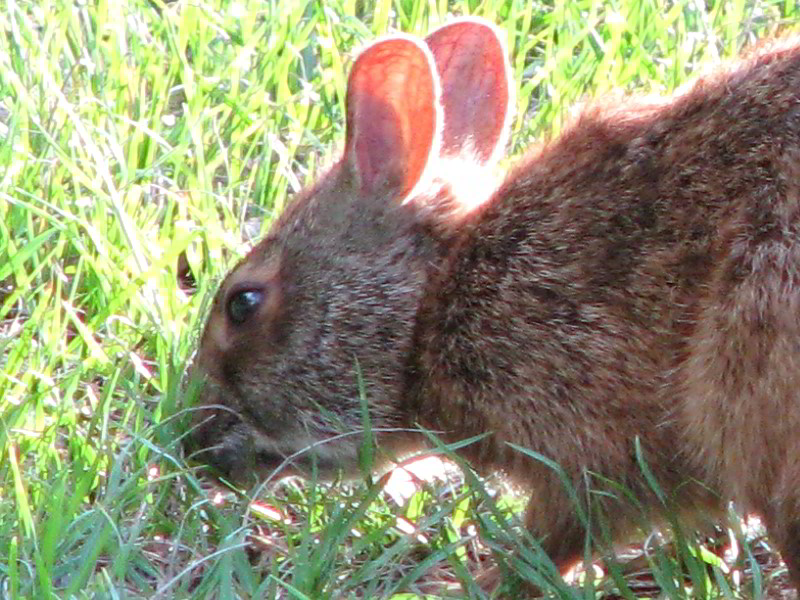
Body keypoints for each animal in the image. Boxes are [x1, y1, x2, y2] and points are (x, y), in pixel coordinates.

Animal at [184, 16, 800, 592]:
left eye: (243, 303)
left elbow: (556, 539)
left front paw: (476, 586)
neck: (430, 309)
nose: (195, 444)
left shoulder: (590, 450)